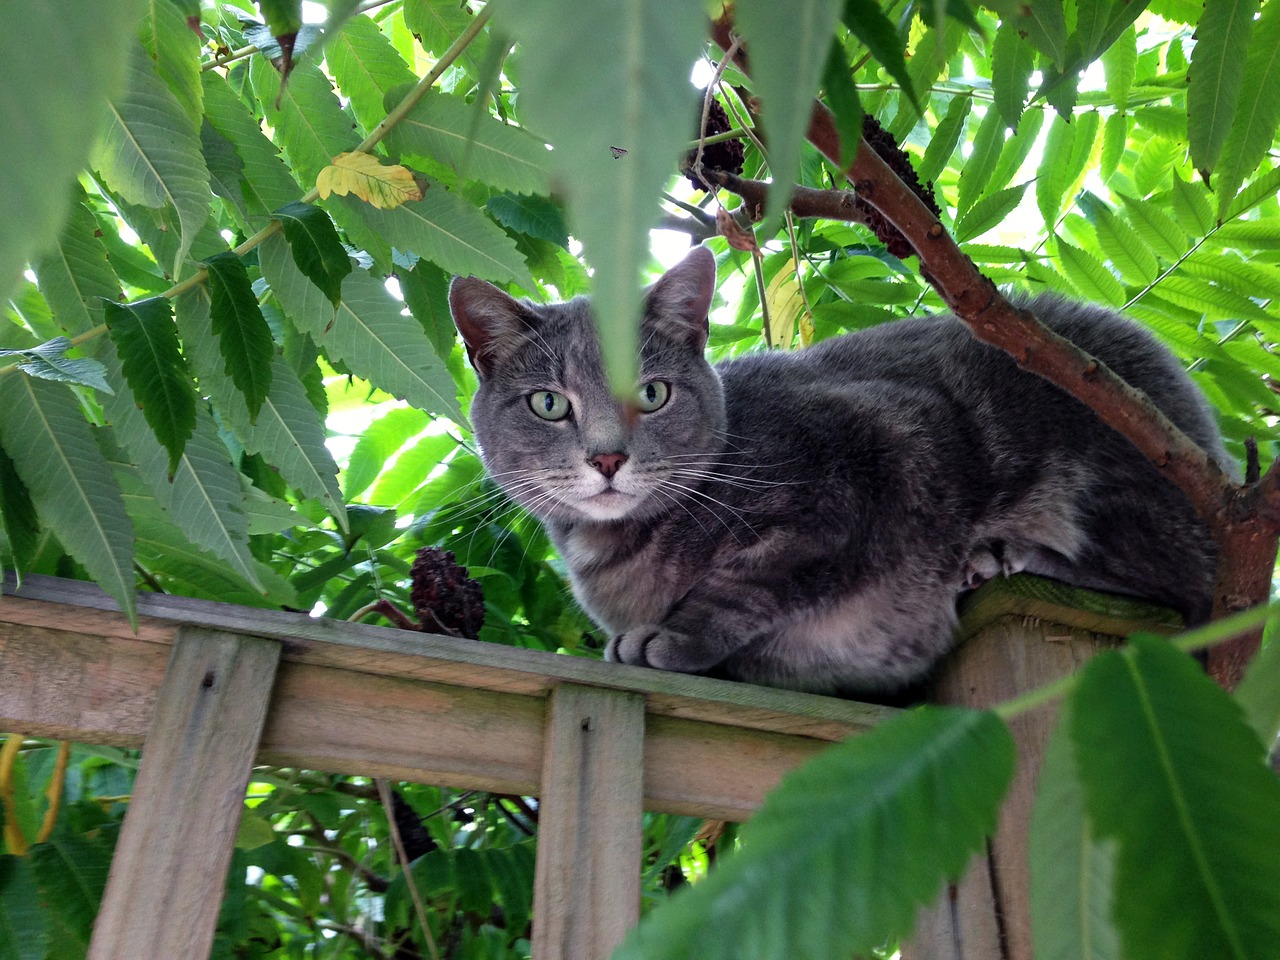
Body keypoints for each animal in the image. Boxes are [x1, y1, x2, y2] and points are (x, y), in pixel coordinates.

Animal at [448, 248, 1228, 701]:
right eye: (550, 403)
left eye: (653, 393)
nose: (608, 457)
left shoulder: (878, 453)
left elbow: (747, 584)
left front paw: (674, 636)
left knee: (1173, 586)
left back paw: (1008, 554)